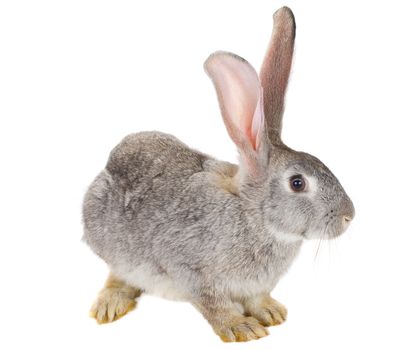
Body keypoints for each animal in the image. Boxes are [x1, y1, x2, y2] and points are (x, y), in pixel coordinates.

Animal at [83, 6, 354, 344]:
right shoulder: (192, 271)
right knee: (117, 274)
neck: (253, 217)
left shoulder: (254, 286)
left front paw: (271, 313)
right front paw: (242, 328)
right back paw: (110, 304)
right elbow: (214, 305)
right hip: (115, 248)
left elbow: (256, 298)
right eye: (297, 183)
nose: (349, 216)